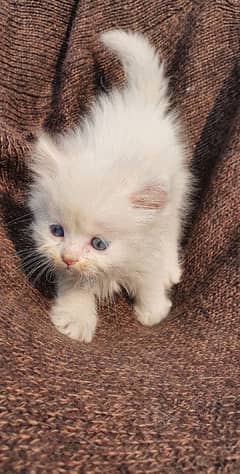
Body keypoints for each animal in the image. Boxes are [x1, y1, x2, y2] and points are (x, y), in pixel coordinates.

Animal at [28, 29, 190, 342]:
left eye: (99, 244)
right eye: (57, 231)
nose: (68, 257)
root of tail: (140, 103)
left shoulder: (149, 238)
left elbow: (149, 276)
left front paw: (153, 309)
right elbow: (75, 285)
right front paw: (75, 320)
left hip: (175, 194)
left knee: (172, 227)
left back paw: (170, 267)